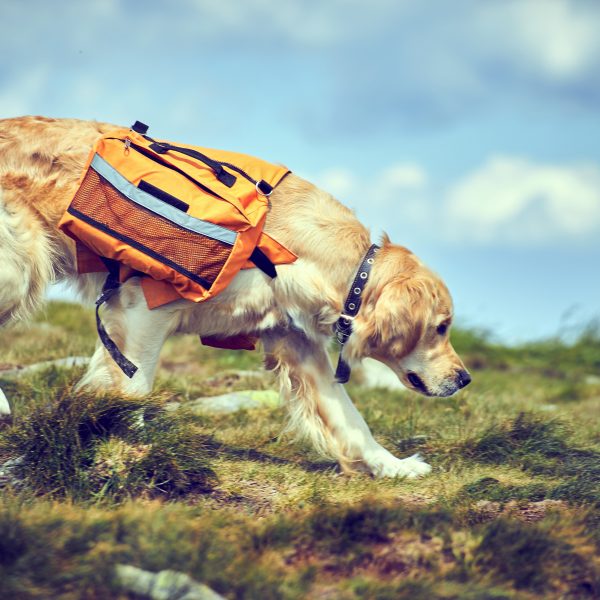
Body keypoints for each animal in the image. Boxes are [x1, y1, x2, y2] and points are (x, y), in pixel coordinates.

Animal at [0, 115, 472, 476]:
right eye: (440, 327)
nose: (464, 378)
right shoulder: (143, 306)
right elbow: (134, 386)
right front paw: (125, 440)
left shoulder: (298, 343)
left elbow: (352, 421)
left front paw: (395, 467)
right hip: (21, 264)